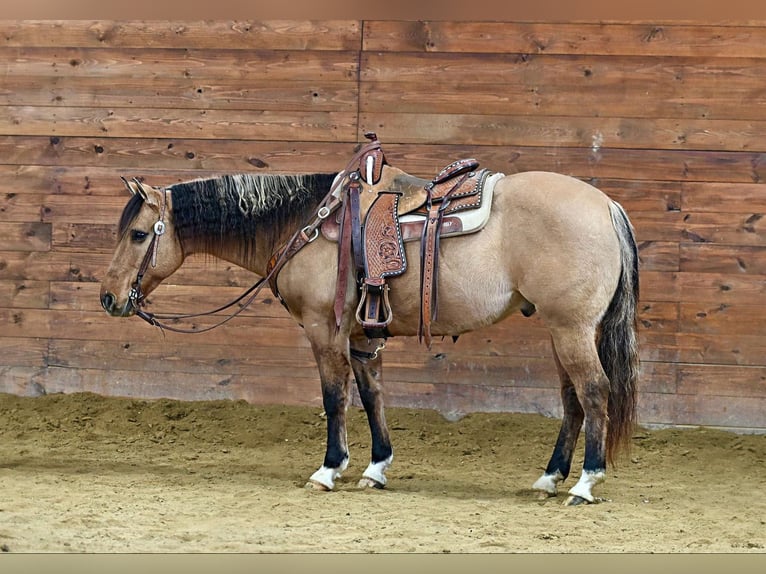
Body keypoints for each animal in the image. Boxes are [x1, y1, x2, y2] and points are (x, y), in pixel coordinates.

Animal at [102, 137, 640, 506]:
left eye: (137, 234)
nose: (109, 298)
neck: (306, 220)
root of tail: (607, 206)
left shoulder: (324, 329)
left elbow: (334, 398)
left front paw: (328, 470)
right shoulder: (362, 336)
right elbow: (371, 396)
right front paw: (376, 468)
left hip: (571, 328)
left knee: (594, 391)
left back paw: (586, 483)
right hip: (561, 330)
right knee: (571, 399)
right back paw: (551, 478)